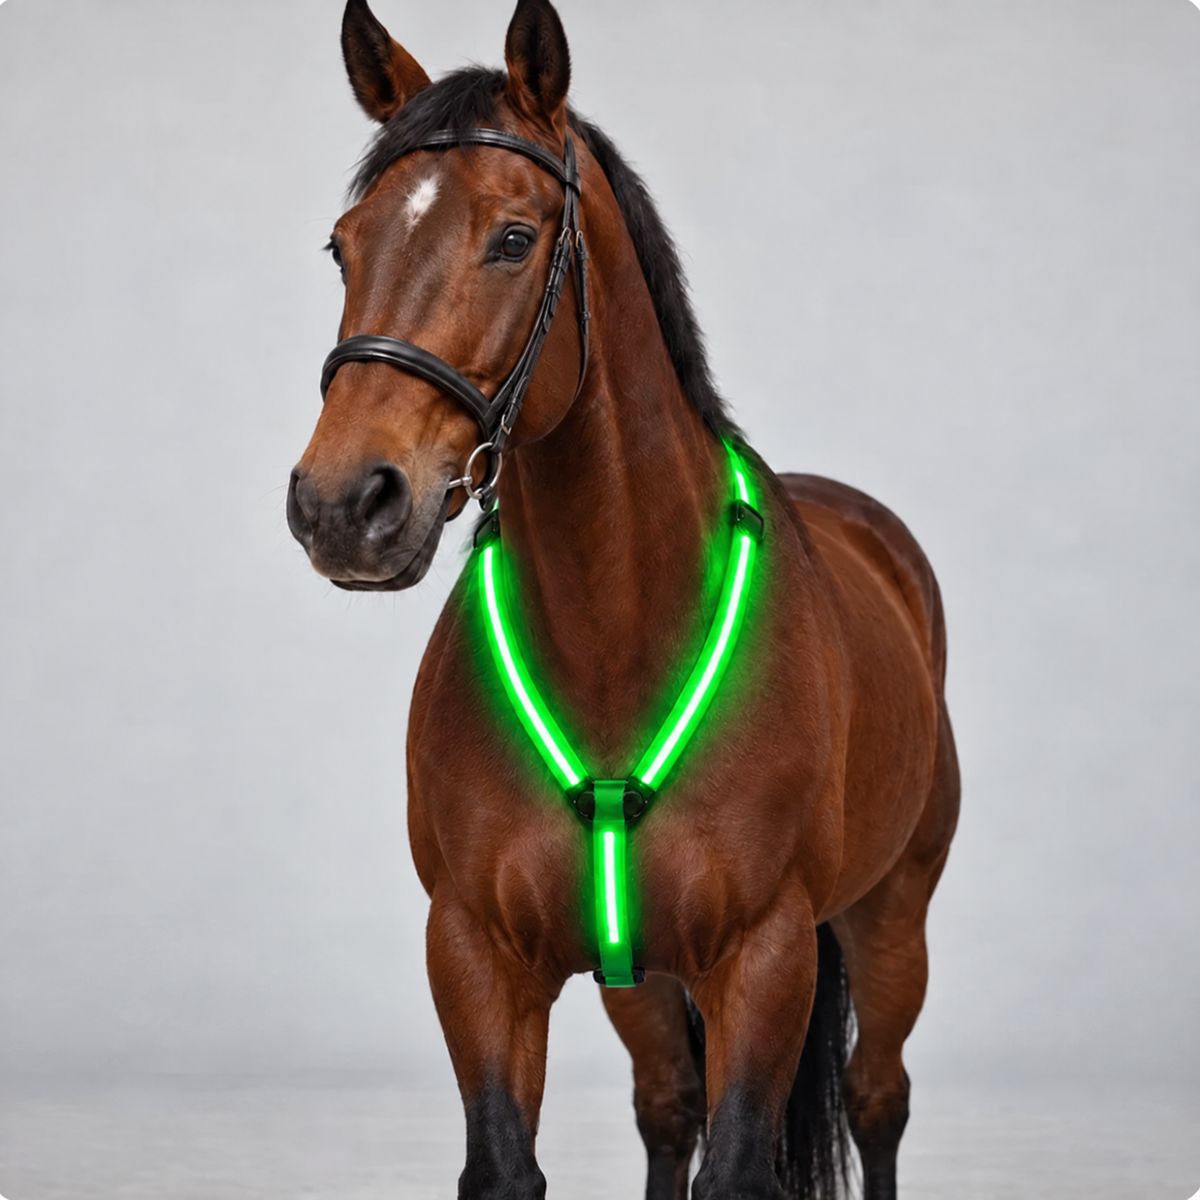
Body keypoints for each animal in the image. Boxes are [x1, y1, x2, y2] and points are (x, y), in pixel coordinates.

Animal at [285, 1, 960, 1197]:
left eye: (513, 239)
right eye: (342, 243)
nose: (342, 504)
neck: (614, 643)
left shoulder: (766, 958)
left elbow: (741, 1165)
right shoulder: (475, 954)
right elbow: (512, 1161)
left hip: (893, 919)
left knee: (879, 1099)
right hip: (642, 981)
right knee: (666, 1107)